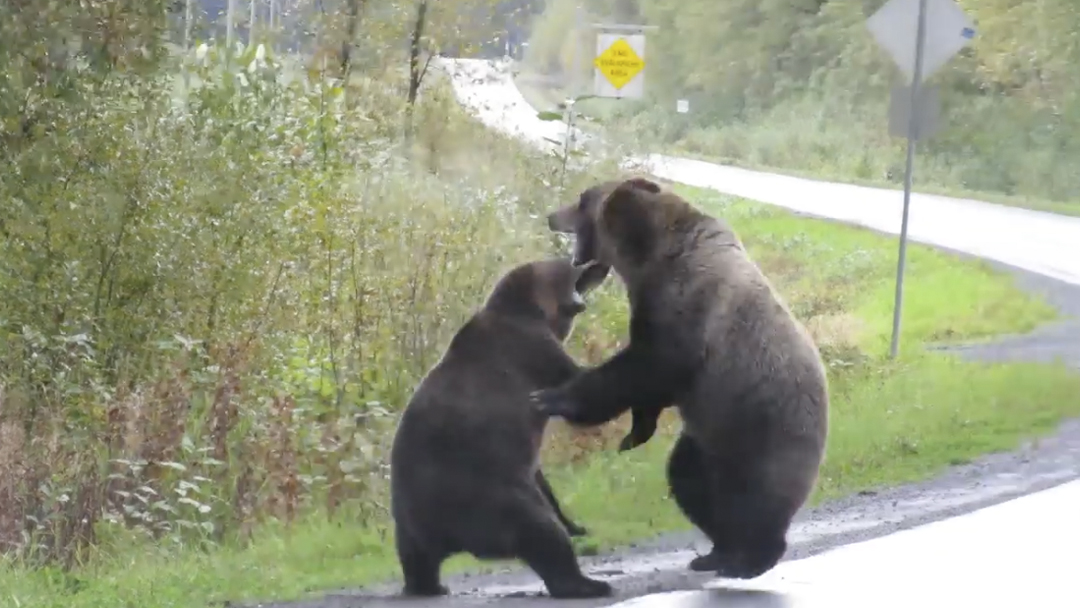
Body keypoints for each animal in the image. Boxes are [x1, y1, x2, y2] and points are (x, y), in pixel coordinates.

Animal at [389, 256, 613, 599]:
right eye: (570, 267)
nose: (598, 264)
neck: (535, 311)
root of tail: (451, 536)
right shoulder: (532, 349)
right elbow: (579, 392)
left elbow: (544, 479)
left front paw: (577, 524)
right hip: (492, 495)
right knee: (542, 532)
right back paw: (589, 584)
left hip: (410, 521)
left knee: (416, 560)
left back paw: (431, 586)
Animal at [531, 177, 830, 580]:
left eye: (580, 201)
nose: (551, 215)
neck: (647, 255)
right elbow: (652, 386)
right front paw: (635, 433)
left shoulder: (684, 307)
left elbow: (643, 367)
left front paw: (552, 398)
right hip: (707, 438)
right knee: (689, 479)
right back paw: (715, 553)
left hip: (760, 431)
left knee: (756, 501)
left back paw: (749, 559)